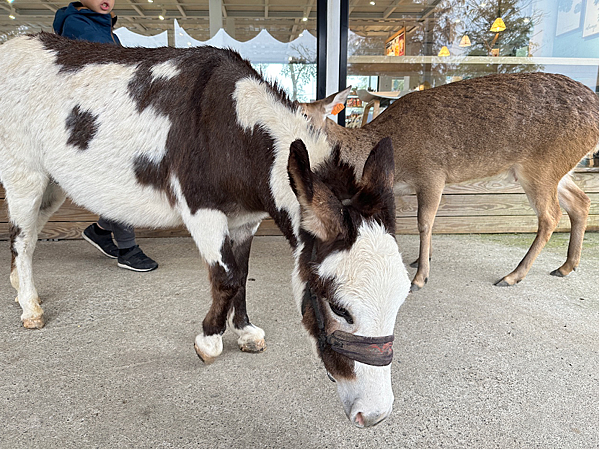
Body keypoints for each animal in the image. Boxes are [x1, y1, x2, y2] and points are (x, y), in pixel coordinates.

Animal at [304, 73, 600, 292]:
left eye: (305, 116)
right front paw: (421, 260)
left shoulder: (433, 172)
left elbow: (424, 222)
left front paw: (420, 278)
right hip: (558, 170)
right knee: (581, 201)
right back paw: (566, 266)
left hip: (541, 166)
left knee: (551, 216)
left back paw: (512, 276)